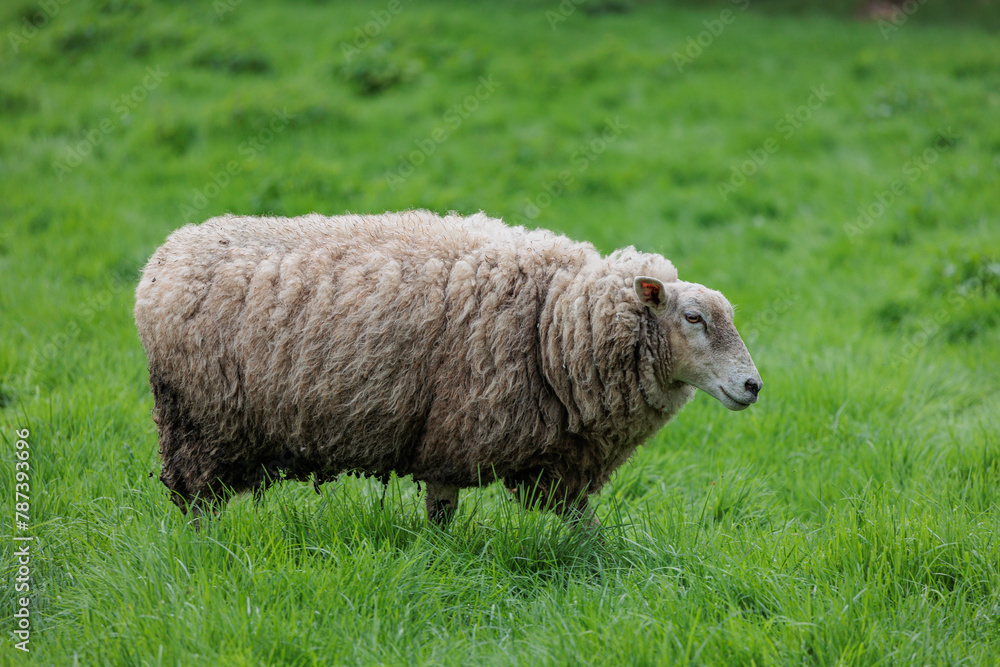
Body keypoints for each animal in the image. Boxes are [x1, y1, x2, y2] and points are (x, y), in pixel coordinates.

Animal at [131, 211, 756, 528]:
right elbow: (441, 516)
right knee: (194, 502)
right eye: (694, 317)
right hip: (199, 420)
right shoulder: (456, 434)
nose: (753, 386)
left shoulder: (557, 460)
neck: (555, 323)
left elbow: (582, 528)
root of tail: (163, 257)